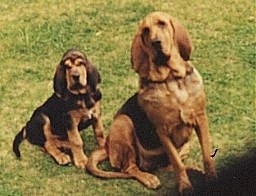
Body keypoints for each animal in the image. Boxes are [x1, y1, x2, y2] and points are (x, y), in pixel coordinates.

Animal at [86, 11, 216, 194]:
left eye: (162, 23)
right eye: (145, 31)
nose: (156, 42)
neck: (171, 79)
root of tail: (107, 145)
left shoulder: (201, 119)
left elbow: (206, 155)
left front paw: (211, 178)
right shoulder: (162, 130)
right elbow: (177, 164)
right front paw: (185, 187)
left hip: (186, 146)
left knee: (169, 165)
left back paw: (193, 169)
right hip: (123, 123)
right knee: (131, 168)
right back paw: (149, 178)